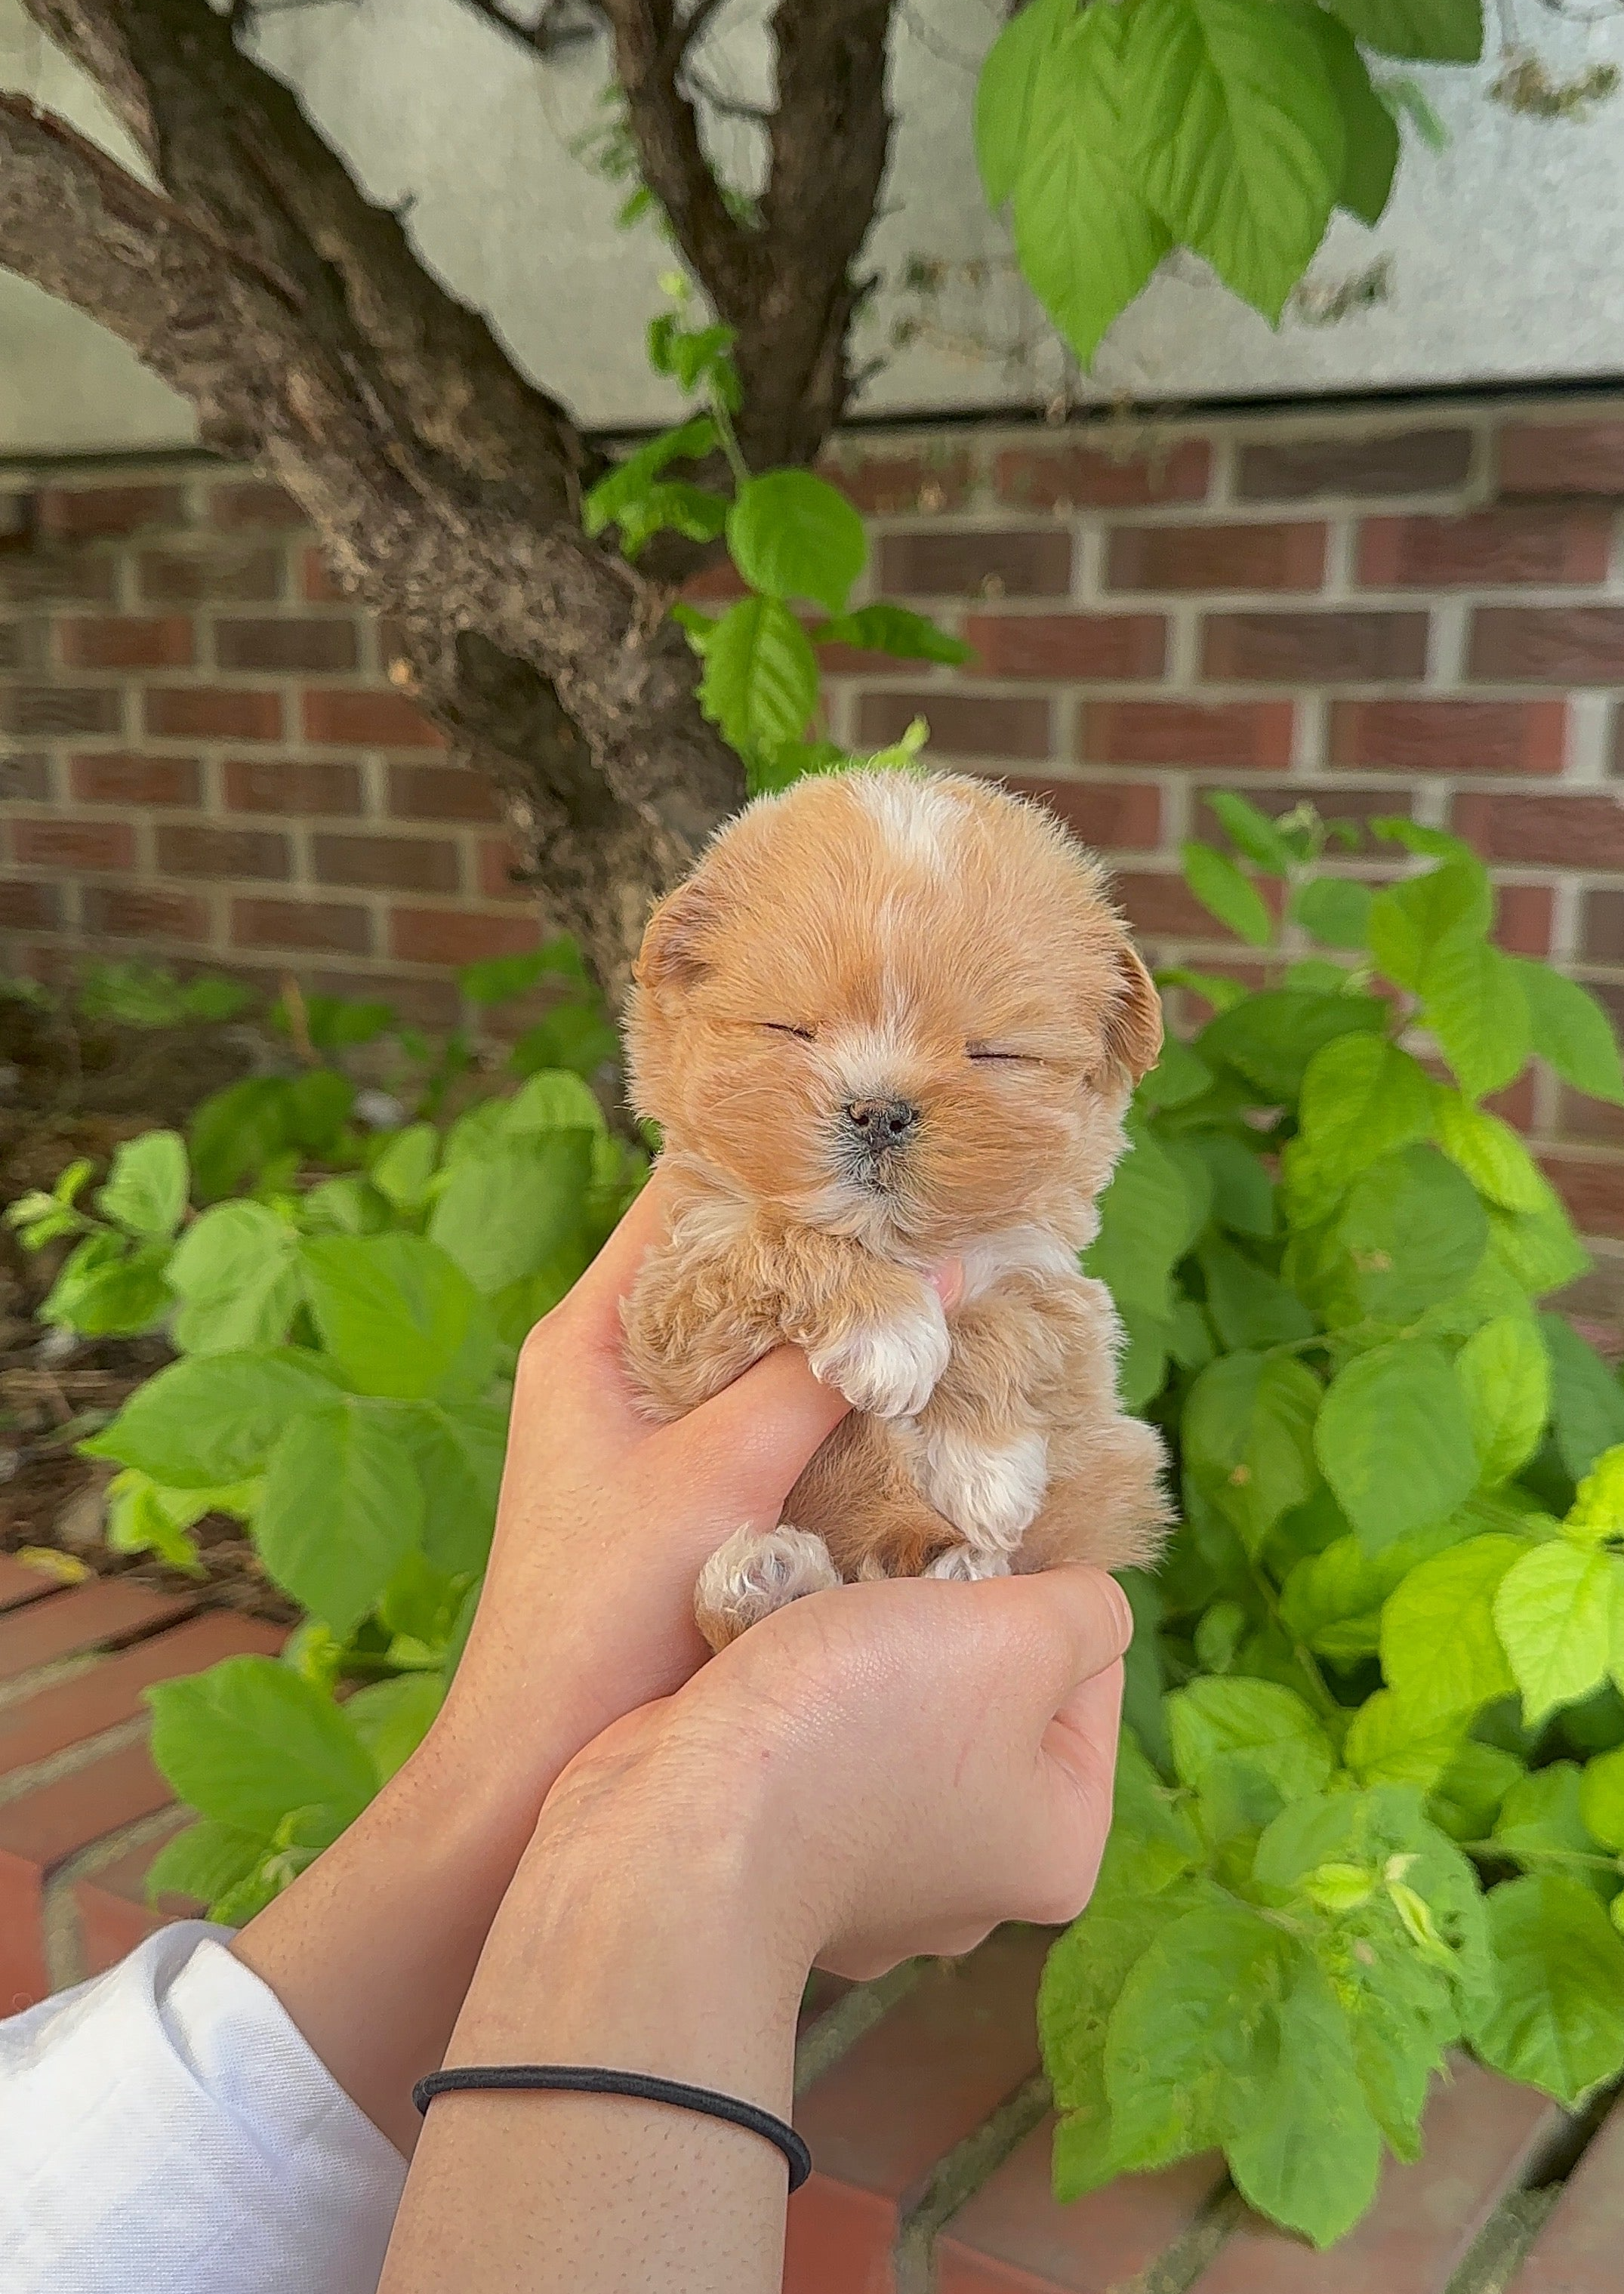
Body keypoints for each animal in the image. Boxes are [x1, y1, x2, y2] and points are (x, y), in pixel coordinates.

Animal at [619, 770, 1165, 1651]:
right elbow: (780, 1235)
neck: (897, 1246)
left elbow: (1012, 1320)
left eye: (994, 1052)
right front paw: (892, 1331)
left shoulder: (1049, 1281)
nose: (878, 1111)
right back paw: (760, 1584)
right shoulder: (673, 1325)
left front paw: (989, 1474)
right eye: (789, 1028)